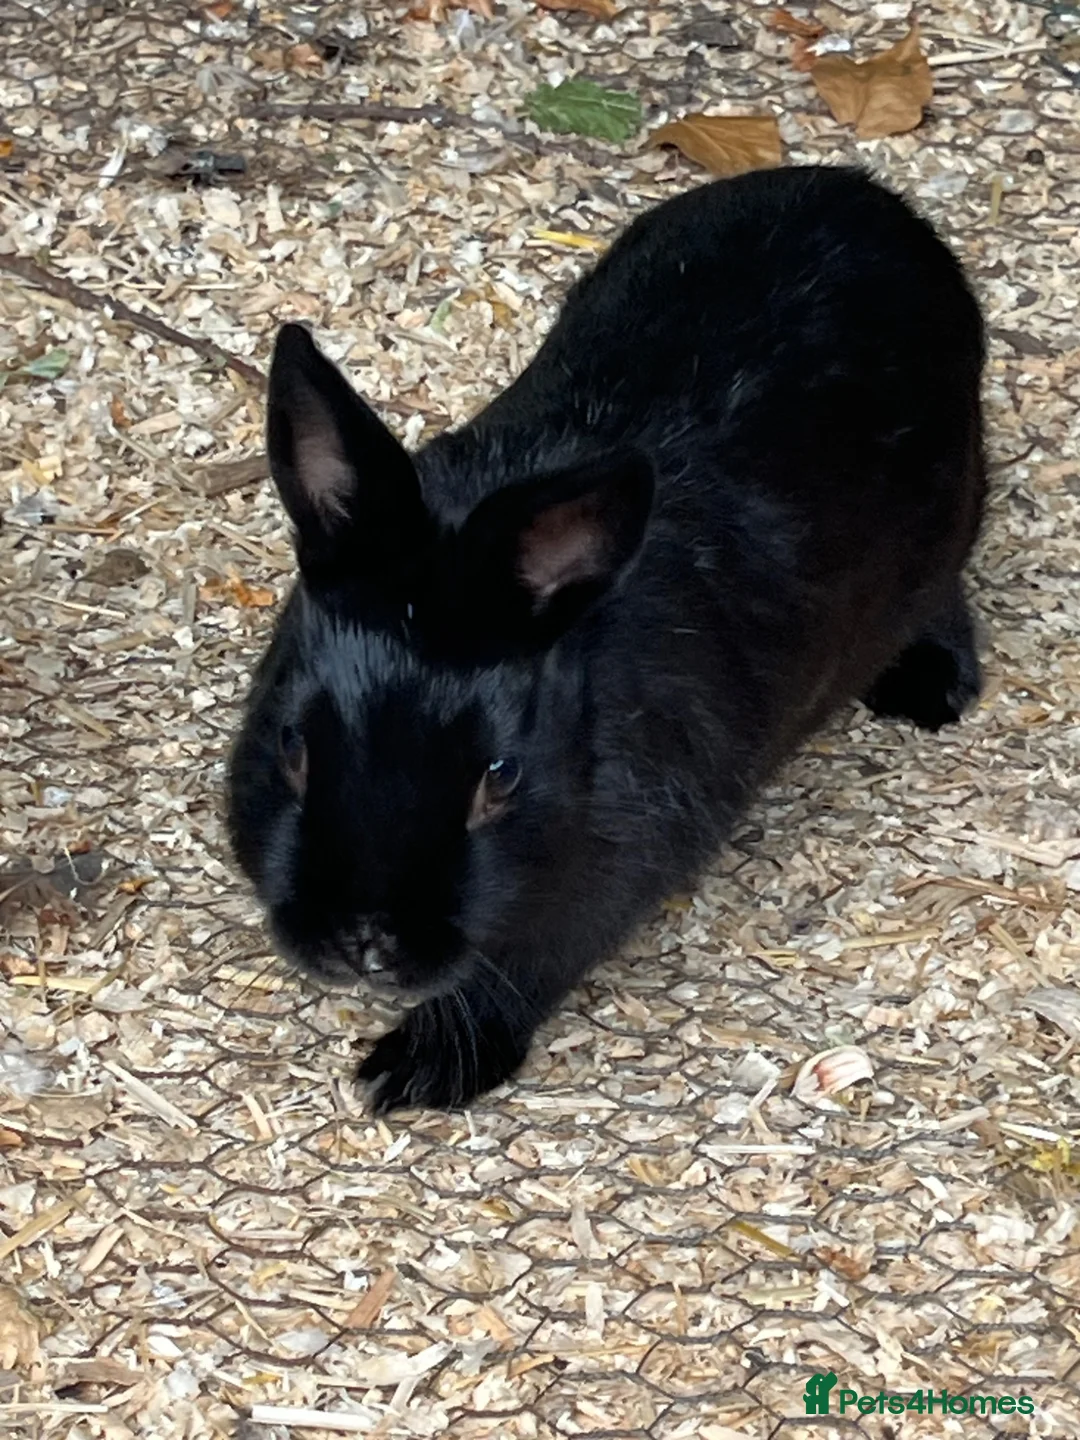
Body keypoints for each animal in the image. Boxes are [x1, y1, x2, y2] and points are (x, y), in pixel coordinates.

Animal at [226, 165, 986, 1113]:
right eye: (292, 745)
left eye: (499, 779)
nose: (366, 940)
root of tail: (867, 194)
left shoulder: (607, 877)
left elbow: (520, 969)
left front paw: (417, 1071)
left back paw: (929, 688)